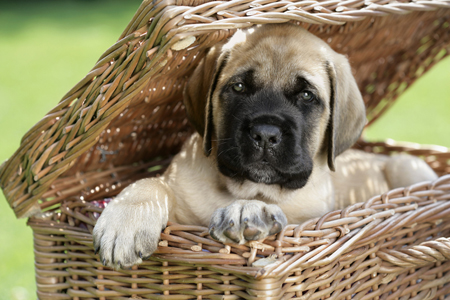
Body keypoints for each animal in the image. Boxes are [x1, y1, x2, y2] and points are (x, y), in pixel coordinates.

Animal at [93, 22, 438, 268]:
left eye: (306, 95)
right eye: (239, 87)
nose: (265, 134)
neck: (238, 186)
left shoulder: (308, 216)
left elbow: (273, 207)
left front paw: (248, 209)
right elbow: (150, 183)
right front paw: (124, 223)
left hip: (407, 164)